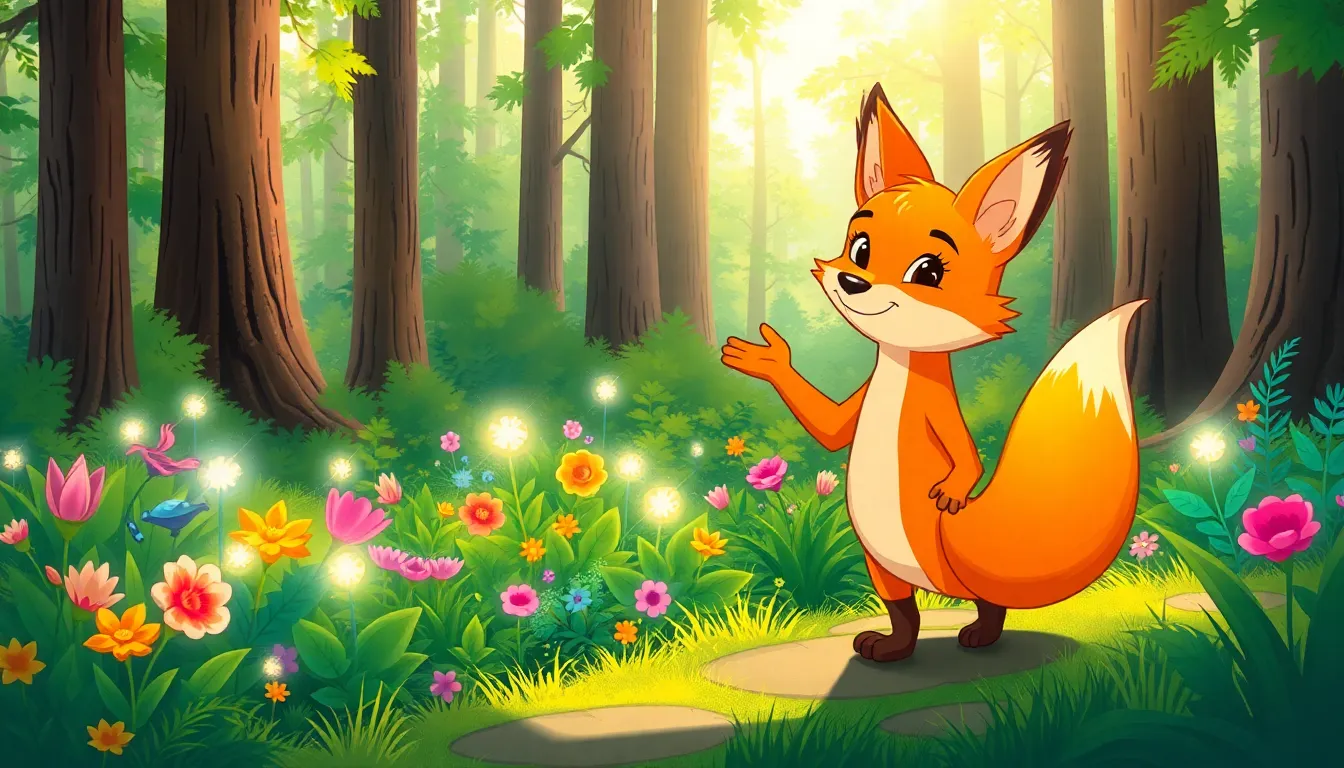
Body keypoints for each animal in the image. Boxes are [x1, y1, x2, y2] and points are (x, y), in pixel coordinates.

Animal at [722, 83, 1144, 662]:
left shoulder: (936, 409)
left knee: (988, 602)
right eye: (860, 248)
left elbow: (965, 453)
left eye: (928, 272)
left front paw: (954, 486)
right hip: (877, 558)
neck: (899, 365)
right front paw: (769, 360)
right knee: (904, 606)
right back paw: (892, 646)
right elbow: (830, 433)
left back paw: (980, 636)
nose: (852, 282)